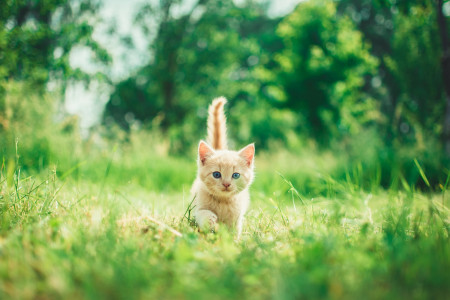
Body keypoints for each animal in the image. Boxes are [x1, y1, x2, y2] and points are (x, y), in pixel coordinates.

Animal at [190, 96, 255, 237]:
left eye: (235, 175)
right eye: (216, 174)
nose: (226, 184)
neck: (222, 201)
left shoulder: (237, 218)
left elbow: (234, 232)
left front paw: (233, 241)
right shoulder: (197, 207)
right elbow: (202, 213)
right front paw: (210, 219)